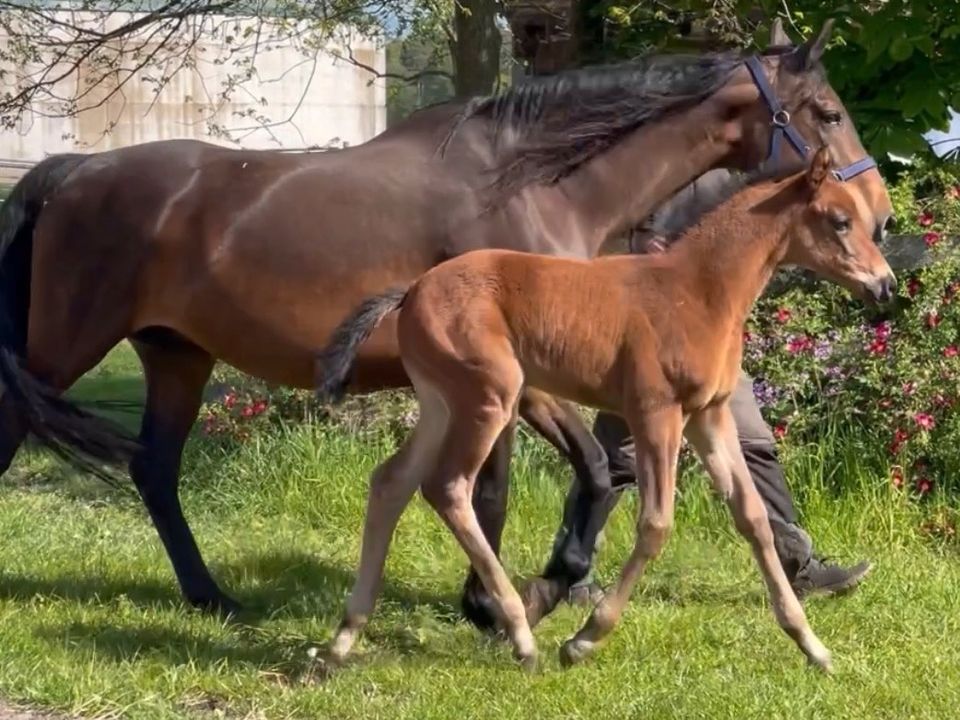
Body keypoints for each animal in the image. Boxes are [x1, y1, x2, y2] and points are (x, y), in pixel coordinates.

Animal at [0, 22, 888, 624]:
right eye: (826, 110)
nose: (879, 215)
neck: (530, 186)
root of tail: (73, 170)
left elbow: (509, 489)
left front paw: (494, 599)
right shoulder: (522, 380)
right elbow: (577, 476)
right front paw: (532, 591)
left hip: (178, 356)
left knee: (154, 469)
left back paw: (210, 596)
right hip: (63, 346)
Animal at [318, 149, 896, 672]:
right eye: (840, 221)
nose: (885, 283)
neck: (700, 290)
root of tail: (411, 290)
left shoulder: (709, 415)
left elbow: (753, 516)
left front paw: (813, 646)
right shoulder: (656, 412)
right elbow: (656, 524)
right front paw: (584, 639)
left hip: (443, 402)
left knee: (391, 482)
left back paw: (343, 639)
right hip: (489, 397)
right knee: (448, 487)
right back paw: (522, 637)